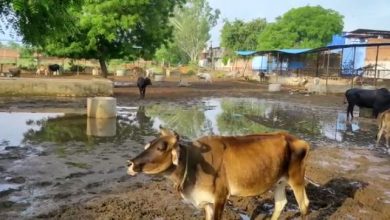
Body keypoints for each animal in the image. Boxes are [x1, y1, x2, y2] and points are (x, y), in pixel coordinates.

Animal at [128, 128, 310, 219]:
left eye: (161, 148)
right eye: (148, 145)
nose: (130, 164)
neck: (193, 163)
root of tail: (298, 140)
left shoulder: (220, 197)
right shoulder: (207, 202)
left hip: (296, 178)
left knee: (304, 205)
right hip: (279, 181)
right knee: (281, 203)